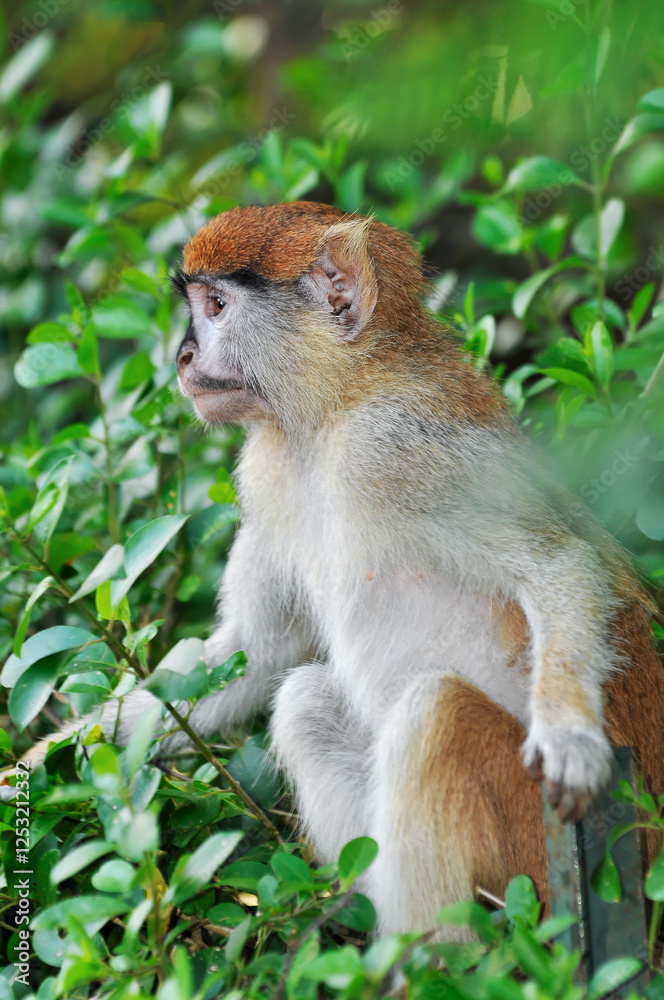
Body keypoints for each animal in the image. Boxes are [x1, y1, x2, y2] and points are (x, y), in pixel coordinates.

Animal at [14, 201, 664, 939]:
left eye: (215, 306)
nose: (183, 356)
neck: (331, 409)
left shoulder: (393, 448)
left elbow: (562, 563)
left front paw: (570, 739)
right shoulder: (266, 474)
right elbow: (254, 654)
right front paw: (37, 766)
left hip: (531, 857)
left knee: (431, 715)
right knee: (304, 701)